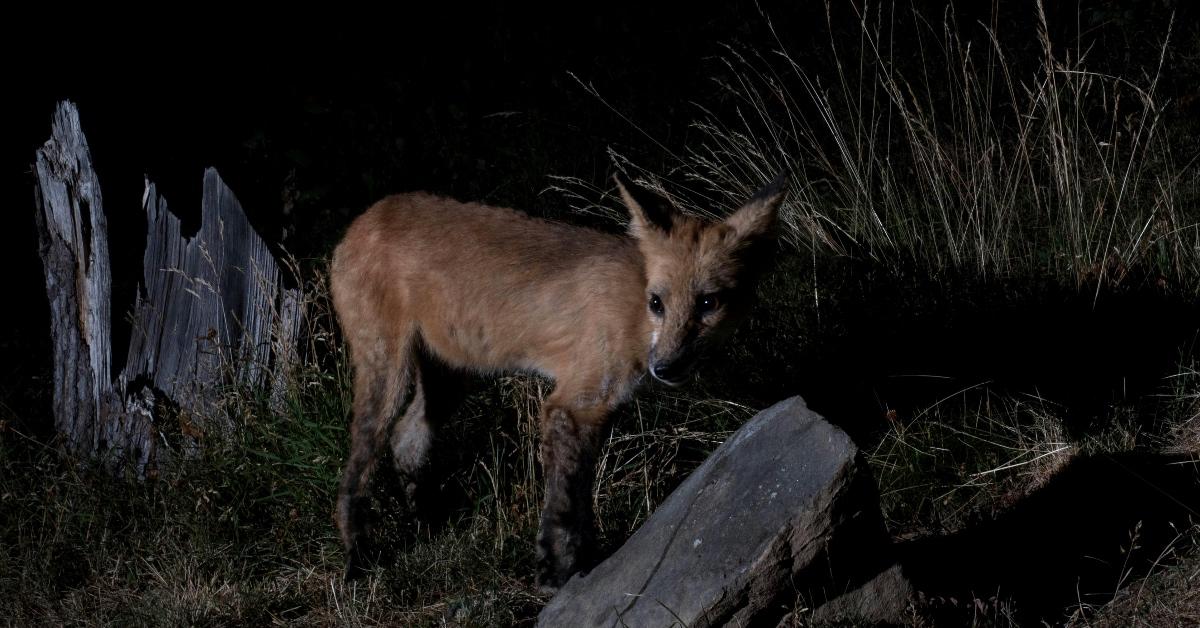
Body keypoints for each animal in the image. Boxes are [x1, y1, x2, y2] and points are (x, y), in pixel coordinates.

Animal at [333, 171, 792, 590]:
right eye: (657, 303)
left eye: (708, 303)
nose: (665, 368)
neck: (635, 310)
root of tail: (366, 217)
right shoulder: (572, 405)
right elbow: (565, 505)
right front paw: (557, 573)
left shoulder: (597, 412)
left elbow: (581, 498)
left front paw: (583, 561)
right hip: (388, 374)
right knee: (359, 464)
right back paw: (357, 556)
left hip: (450, 381)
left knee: (407, 439)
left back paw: (425, 523)